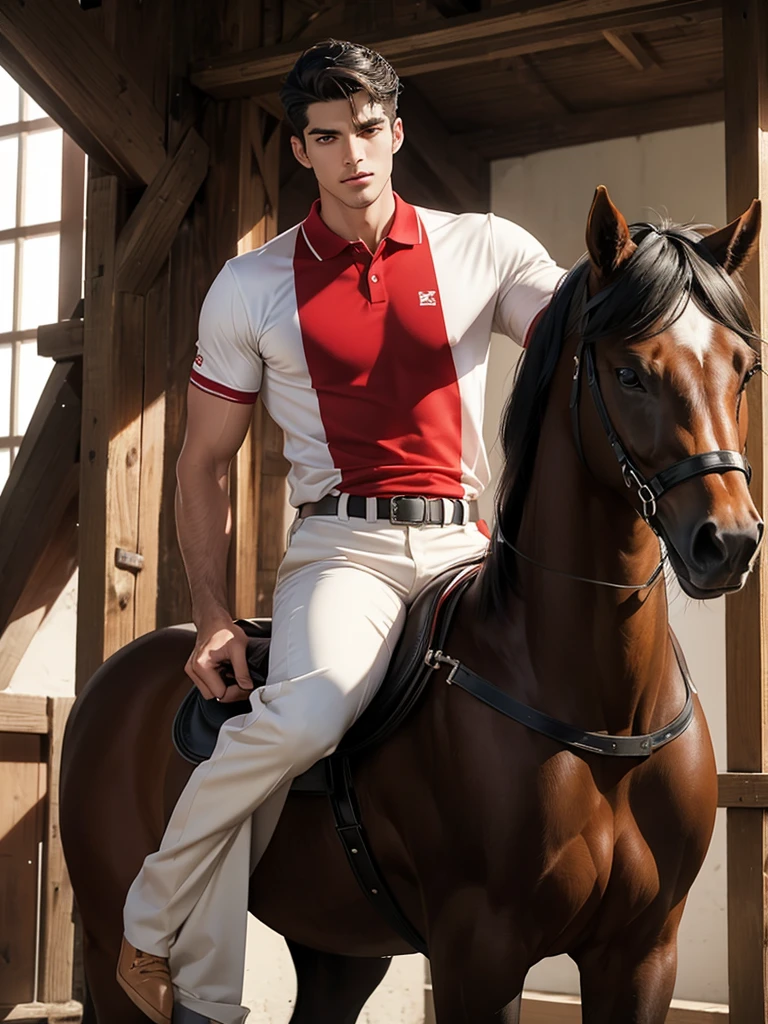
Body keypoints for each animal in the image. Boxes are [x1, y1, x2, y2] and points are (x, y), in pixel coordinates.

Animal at [63, 186, 765, 1024]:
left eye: (743, 370)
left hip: (340, 952)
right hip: (109, 946)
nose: (727, 541)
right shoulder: (480, 957)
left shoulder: (642, 955)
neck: (601, 715)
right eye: (629, 374)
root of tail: (114, 677)